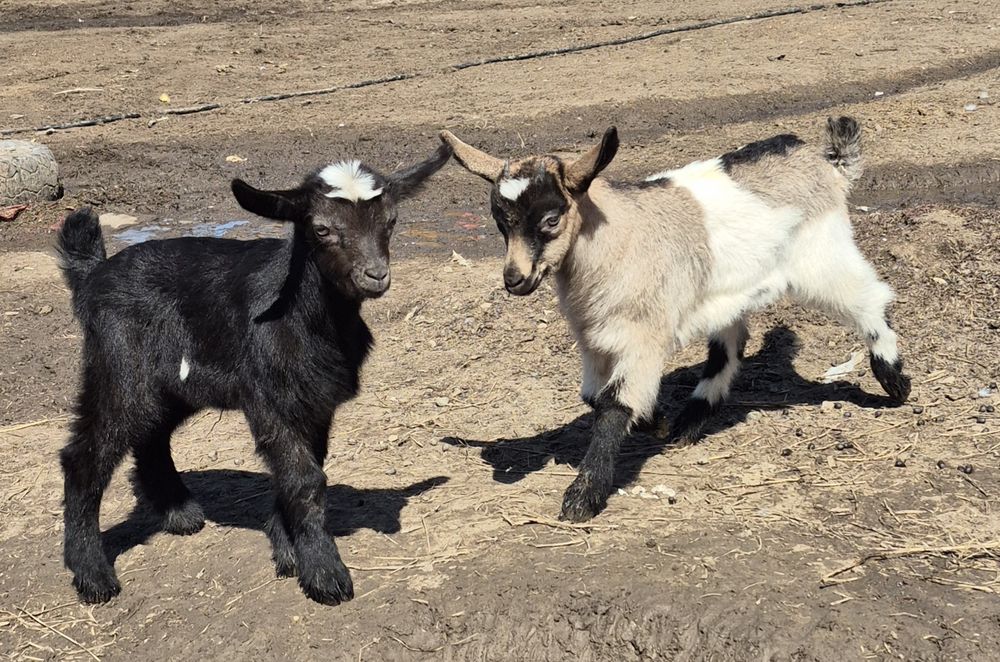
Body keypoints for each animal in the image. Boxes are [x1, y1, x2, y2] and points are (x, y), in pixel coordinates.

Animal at [56, 143, 451, 604]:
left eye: (391, 220)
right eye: (320, 228)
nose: (375, 275)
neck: (306, 313)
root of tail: (93, 273)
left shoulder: (315, 402)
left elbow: (300, 470)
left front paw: (288, 549)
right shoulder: (271, 399)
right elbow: (305, 480)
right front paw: (324, 573)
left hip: (173, 384)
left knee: (151, 435)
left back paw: (179, 513)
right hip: (119, 367)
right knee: (84, 455)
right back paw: (92, 574)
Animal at [441, 117, 910, 522]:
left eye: (551, 220)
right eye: (500, 223)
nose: (514, 279)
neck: (615, 236)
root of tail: (824, 162)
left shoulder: (643, 336)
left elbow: (614, 404)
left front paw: (582, 497)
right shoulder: (594, 340)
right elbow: (595, 397)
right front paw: (657, 421)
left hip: (820, 254)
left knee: (870, 298)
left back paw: (894, 379)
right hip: (728, 291)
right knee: (730, 347)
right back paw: (690, 420)